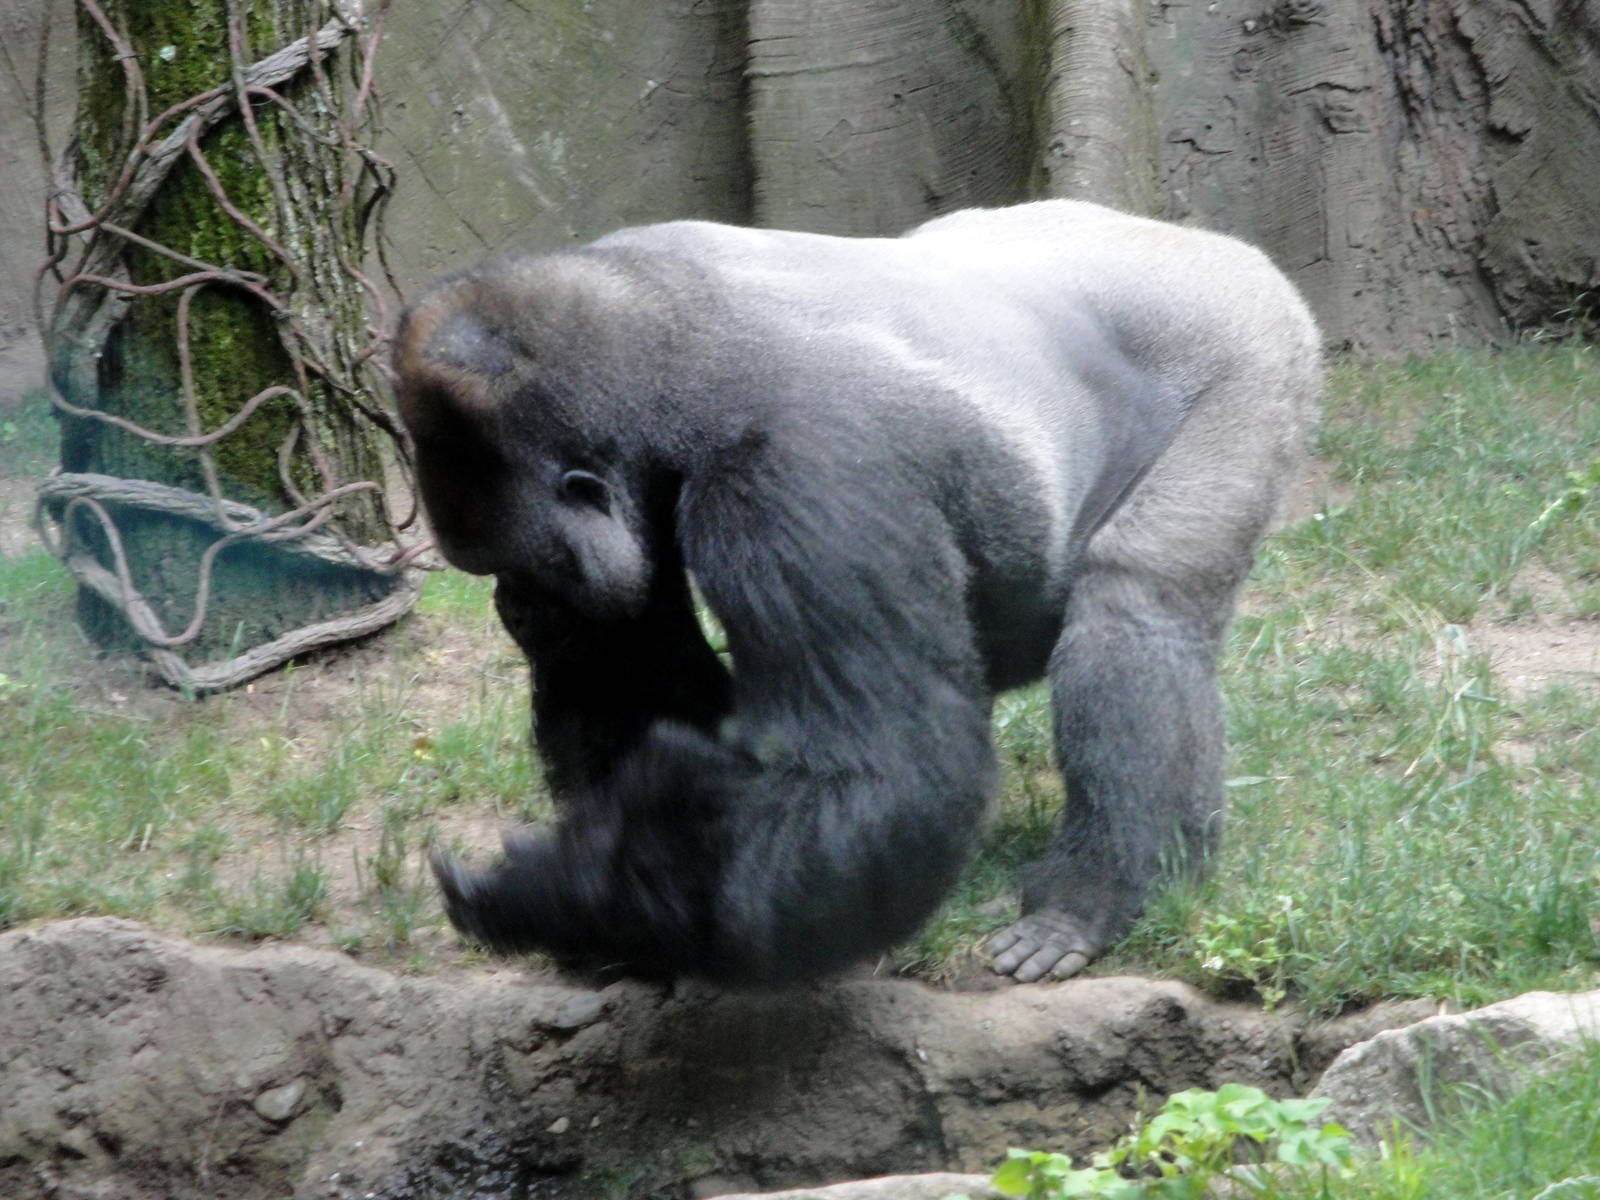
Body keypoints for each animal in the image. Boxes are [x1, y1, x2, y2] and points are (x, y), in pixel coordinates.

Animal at [394, 200, 1321, 985]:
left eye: (515, 568)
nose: (513, 610)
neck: (663, 341)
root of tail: (1214, 245)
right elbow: (639, 674)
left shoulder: (803, 473)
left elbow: (882, 775)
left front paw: (572, 897)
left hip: (1247, 345)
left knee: (1138, 608)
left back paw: (1100, 893)